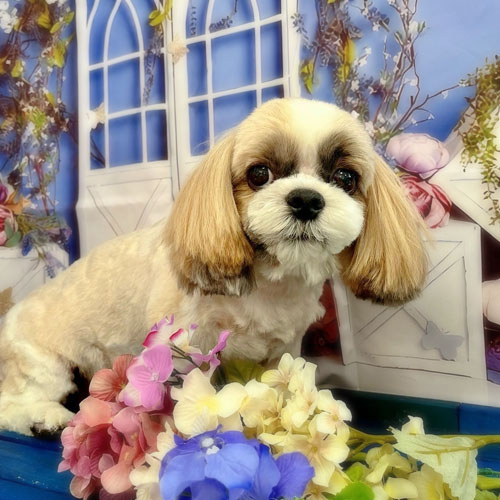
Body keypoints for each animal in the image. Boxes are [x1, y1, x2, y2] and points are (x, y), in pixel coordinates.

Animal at [0, 98, 427, 435]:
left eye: (345, 177)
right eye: (259, 173)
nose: (306, 199)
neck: (270, 286)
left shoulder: (283, 350)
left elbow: (278, 389)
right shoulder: (177, 350)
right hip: (43, 364)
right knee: (11, 405)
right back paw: (45, 419)